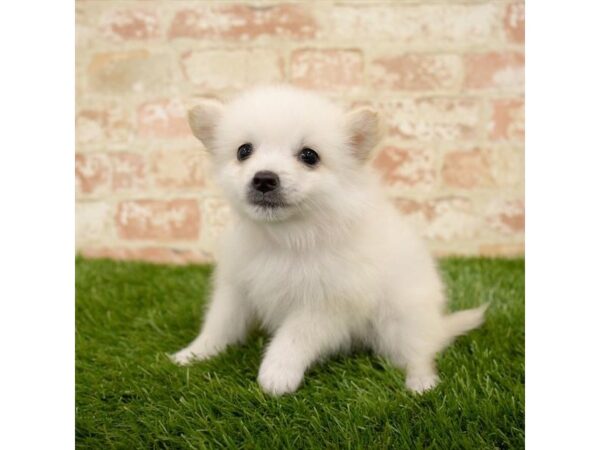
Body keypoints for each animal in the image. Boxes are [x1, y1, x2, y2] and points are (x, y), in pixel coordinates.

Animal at [170, 84, 488, 394]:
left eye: (309, 156)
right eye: (243, 151)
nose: (264, 179)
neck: (285, 237)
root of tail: (437, 326)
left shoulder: (326, 303)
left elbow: (293, 337)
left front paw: (277, 373)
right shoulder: (237, 288)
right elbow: (219, 325)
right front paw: (192, 354)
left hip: (401, 323)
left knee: (419, 353)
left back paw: (421, 382)